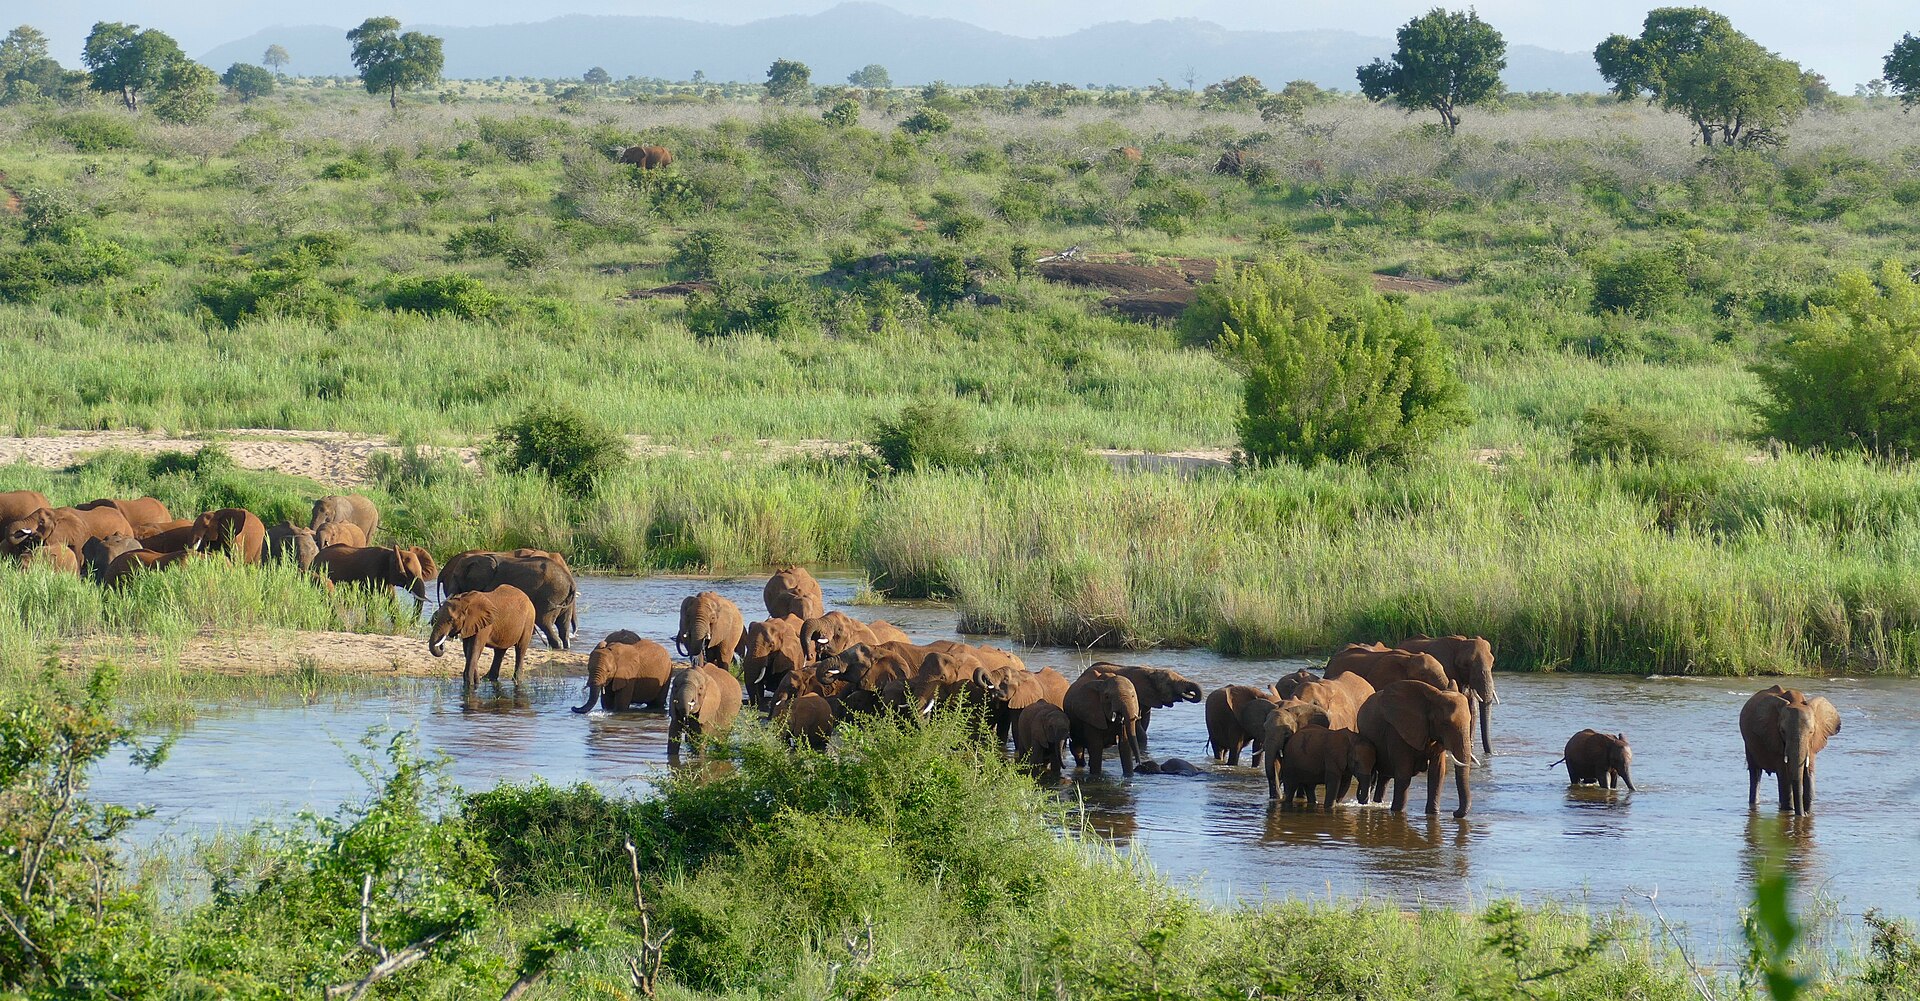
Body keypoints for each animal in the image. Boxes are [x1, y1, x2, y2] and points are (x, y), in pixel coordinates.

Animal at [441, 551, 574, 649]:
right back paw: (564, 646)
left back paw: (556, 646)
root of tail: (571, 582)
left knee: (544, 621)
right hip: (563, 597)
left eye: (455, 576)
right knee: (563, 623)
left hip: (550, 594)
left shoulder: (491, 584)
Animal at [1355, 680, 1474, 817]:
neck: (1429, 702)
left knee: (1384, 778)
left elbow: (1437, 772)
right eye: (1445, 724)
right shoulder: (1397, 730)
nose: (1454, 813)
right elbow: (1404, 772)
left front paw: (1433, 814)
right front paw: (1398, 811)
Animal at [1740, 685, 1841, 815]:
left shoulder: (1812, 744)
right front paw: (1790, 811)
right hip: (1748, 744)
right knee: (1755, 773)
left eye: (1811, 732)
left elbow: (1809, 773)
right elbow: (1784, 776)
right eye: (1782, 731)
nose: (1803, 814)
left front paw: (1807, 813)